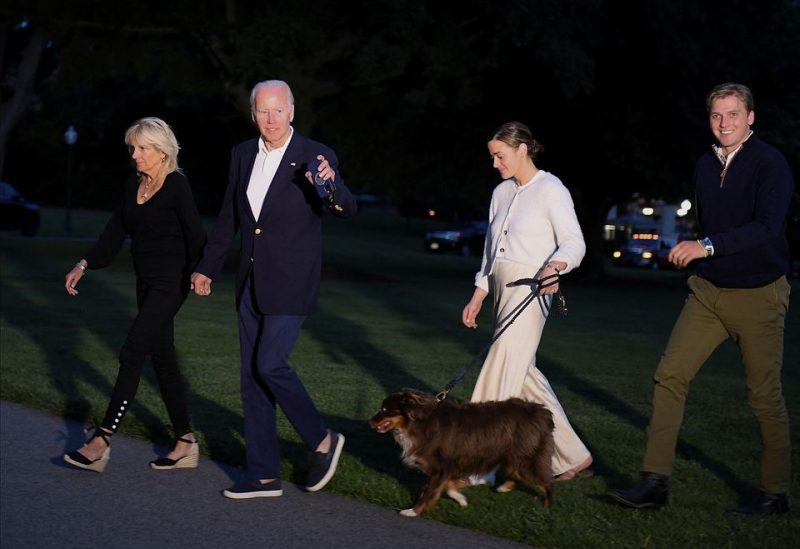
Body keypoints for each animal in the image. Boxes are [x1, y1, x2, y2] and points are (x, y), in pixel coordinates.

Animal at [370, 388, 552, 516]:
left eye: (385, 410)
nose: (370, 421)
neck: (418, 423)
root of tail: (541, 411)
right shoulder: (448, 466)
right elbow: (448, 486)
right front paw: (461, 498)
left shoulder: (440, 468)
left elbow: (427, 493)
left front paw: (412, 512)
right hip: (513, 457)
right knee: (517, 475)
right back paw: (504, 488)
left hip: (525, 460)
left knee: (546, 482)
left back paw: (546, 508)